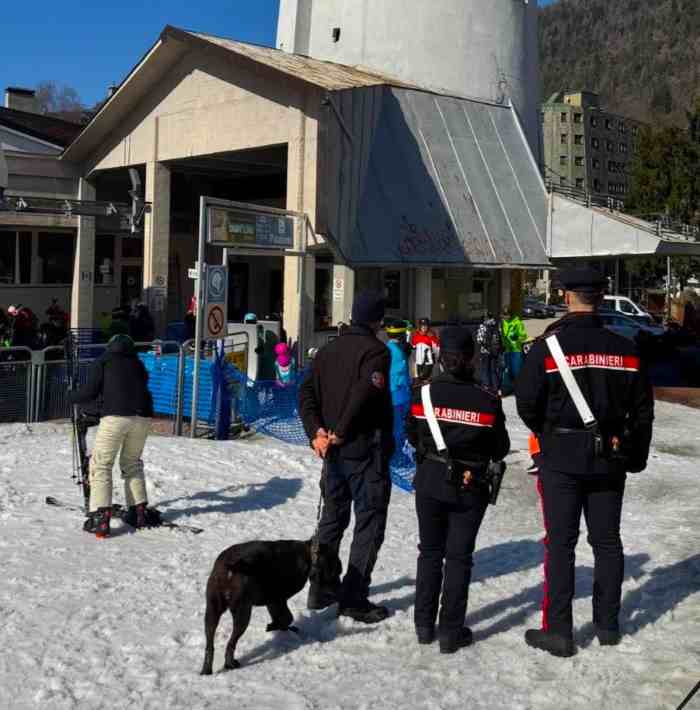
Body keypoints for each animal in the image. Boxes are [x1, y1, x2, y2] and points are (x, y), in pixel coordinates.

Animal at [200, 544, 342, 676]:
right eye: (337, 571)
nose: (339, 590)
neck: (309, 554)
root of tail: (229, 569)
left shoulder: (273, 602)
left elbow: (282, 617)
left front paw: (278, 627)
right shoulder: (278, 599)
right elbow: (287, 617)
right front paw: (274, 627)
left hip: (212, 612)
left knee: (210, 645)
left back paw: (206, 670)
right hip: (243, 613)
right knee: (231, 643)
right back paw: (230, 664)